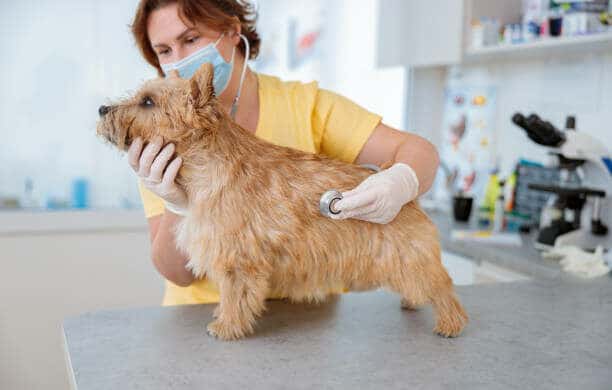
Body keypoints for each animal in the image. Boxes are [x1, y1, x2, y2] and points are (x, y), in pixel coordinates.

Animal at [97, 62, 468, 340]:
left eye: (148, 102)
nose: (102, 108)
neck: (206, 167)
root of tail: (411, 198)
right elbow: (230, 295)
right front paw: (223, 316)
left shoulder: (237, 260)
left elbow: (236, 295)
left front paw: (226, 326)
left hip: (411, 258)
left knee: (443, 286)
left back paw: (450, 323)